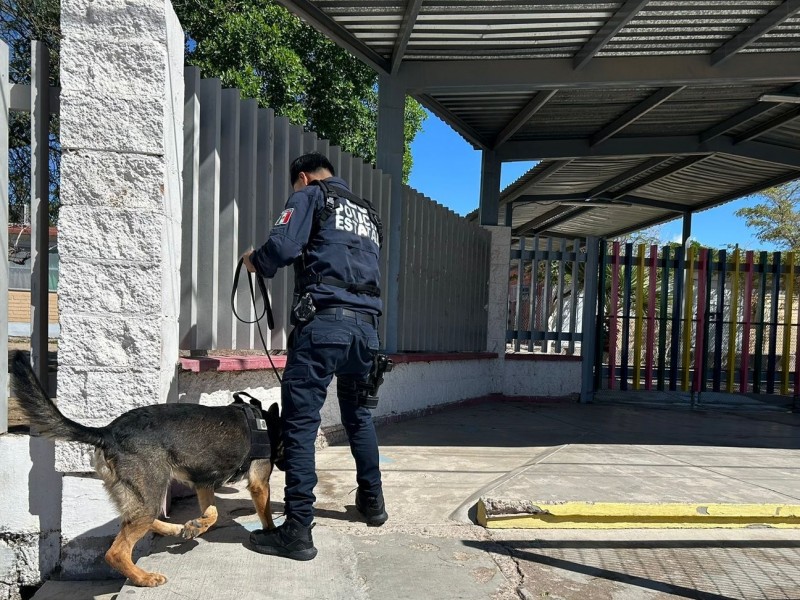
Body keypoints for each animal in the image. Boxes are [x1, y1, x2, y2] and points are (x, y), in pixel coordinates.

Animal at [10, 352, 282, 584]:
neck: (267, 421)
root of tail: (107, 432)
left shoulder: (203, 483)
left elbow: (212, 513)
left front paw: (196, 525)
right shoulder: (258, 484)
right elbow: (264, 512)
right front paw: (271, 531)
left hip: (139, 495)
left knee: (137, 519)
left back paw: (175, 530)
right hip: (150, 492)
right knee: (117, 551)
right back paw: (143, 578)